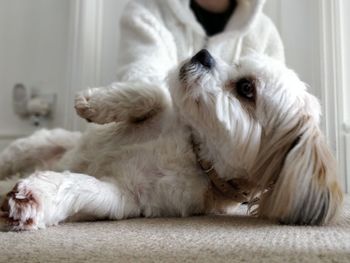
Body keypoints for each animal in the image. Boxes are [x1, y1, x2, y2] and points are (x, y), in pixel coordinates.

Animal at [0, 50, 344, 231]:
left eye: (246, 89)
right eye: (234, 62)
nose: (203, 54)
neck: (195, 152)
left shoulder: (128, 198)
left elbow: (86, 188)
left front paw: (37, 196)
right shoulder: (166, 112)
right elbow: (154, 93)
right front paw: (95, 102)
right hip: (36, 146)